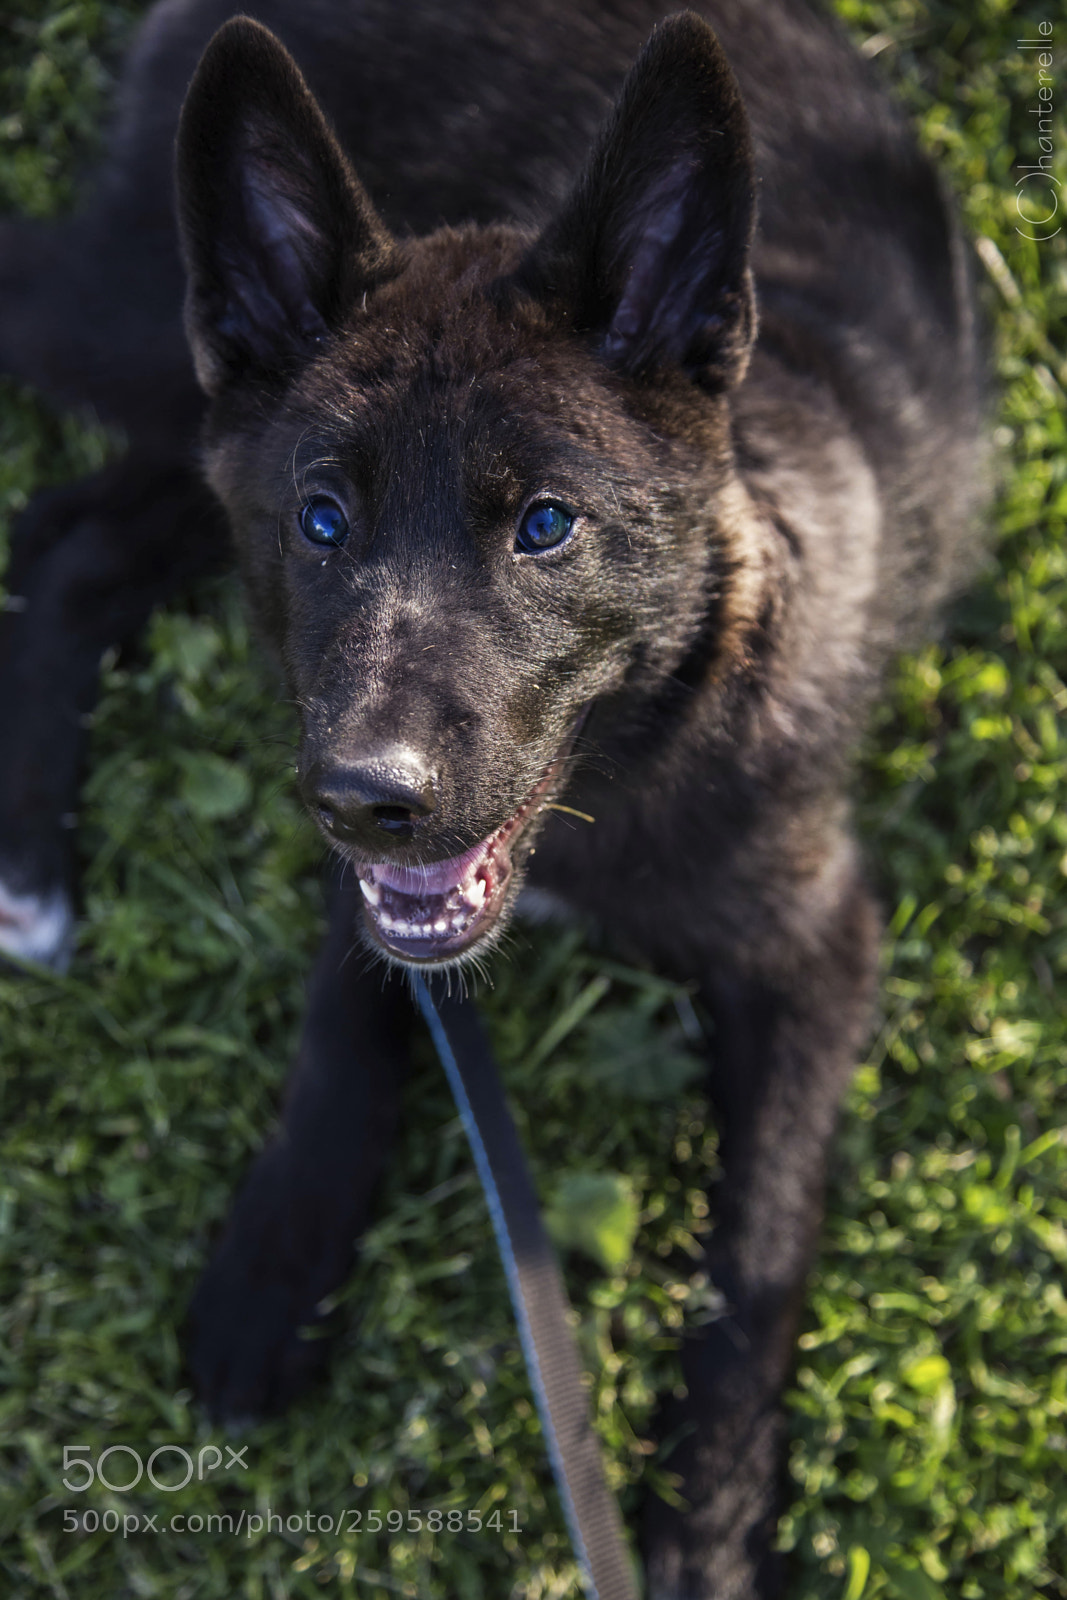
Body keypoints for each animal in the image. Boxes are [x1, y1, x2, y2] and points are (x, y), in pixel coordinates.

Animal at [0, 1, 984, 1593]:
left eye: (544, 527)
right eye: (322, 518)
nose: (366, 800)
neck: (636, 749)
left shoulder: (814, 942)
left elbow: (756, 1250)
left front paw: (707, 1527)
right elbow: (349, 1016)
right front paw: (276, 1259)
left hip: (184, 409)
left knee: (75, 534)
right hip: (166, 355)